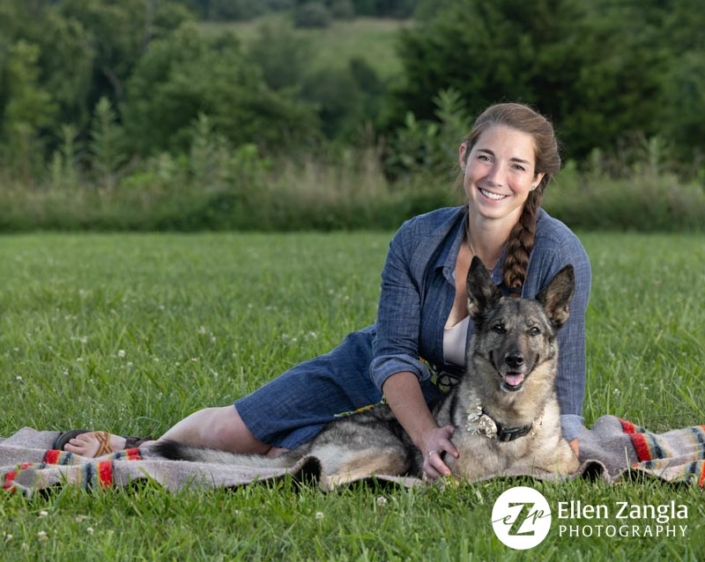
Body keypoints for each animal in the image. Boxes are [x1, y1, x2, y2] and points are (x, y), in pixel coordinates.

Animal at [157, 258, 580, 482]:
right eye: (498, 329)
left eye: (533, 331)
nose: (515, 361)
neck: (508, 423)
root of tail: (315, 440)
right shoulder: (450, 478)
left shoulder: (565, 473)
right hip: (391, 450)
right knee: (325, 480)